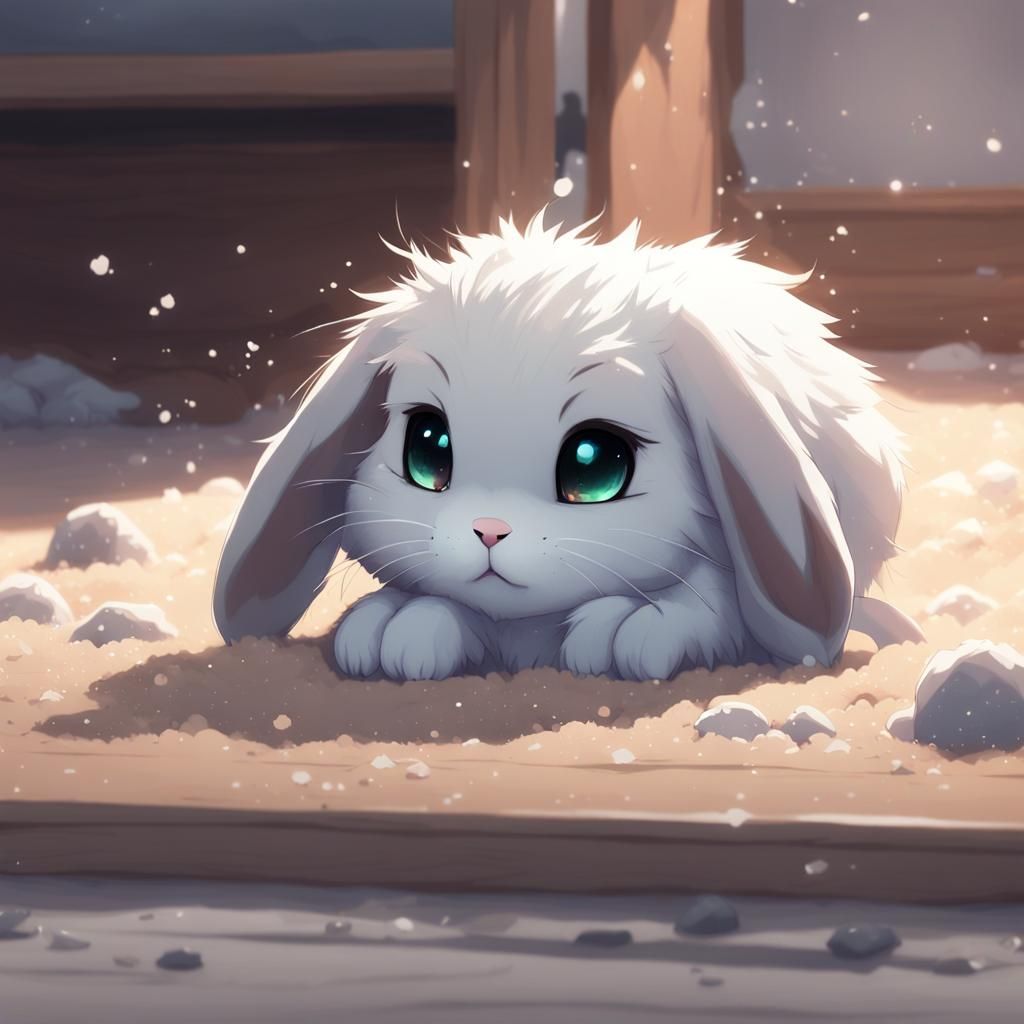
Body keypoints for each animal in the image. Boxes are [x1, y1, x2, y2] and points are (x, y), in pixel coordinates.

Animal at [213, 212, 923, 682]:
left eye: (596, 466)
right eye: (427, 451)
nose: (488, 530)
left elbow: (708, 602)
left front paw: (627, 632)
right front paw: (395, 626)